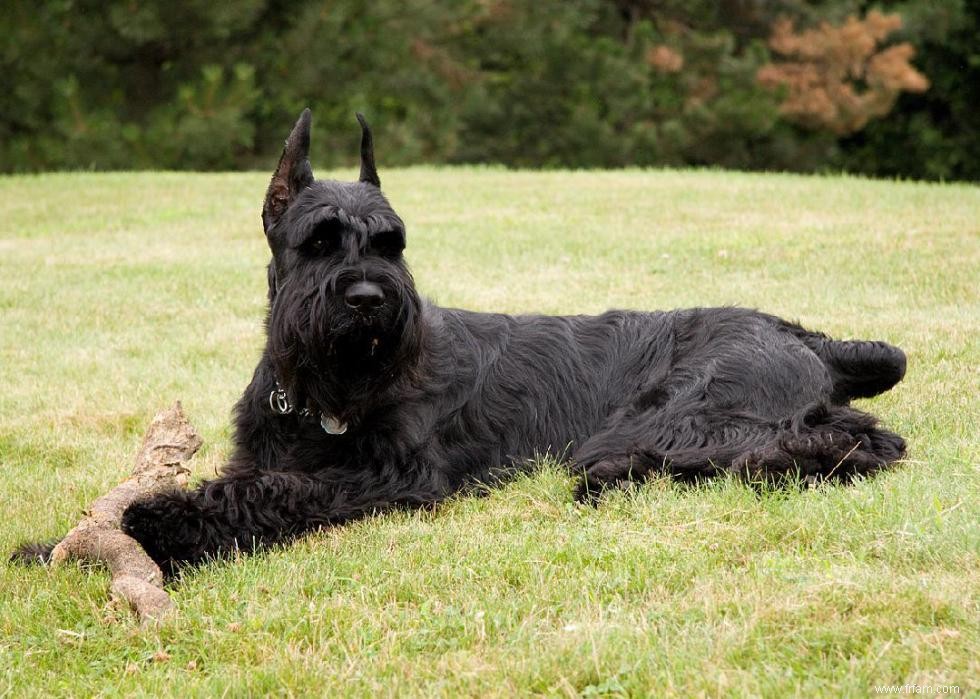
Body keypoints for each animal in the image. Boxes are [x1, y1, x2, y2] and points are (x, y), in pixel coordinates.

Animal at [13, 110, 904, 576]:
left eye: (392, 243)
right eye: (319, 240)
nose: (369, 298)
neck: (323, 392)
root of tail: (803, 333)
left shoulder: (389, 474)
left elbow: (266, 495)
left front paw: (157, 527)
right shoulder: (267, 452)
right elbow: (242, 481)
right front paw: (49, 543)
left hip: (679, 418)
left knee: (842, 443)